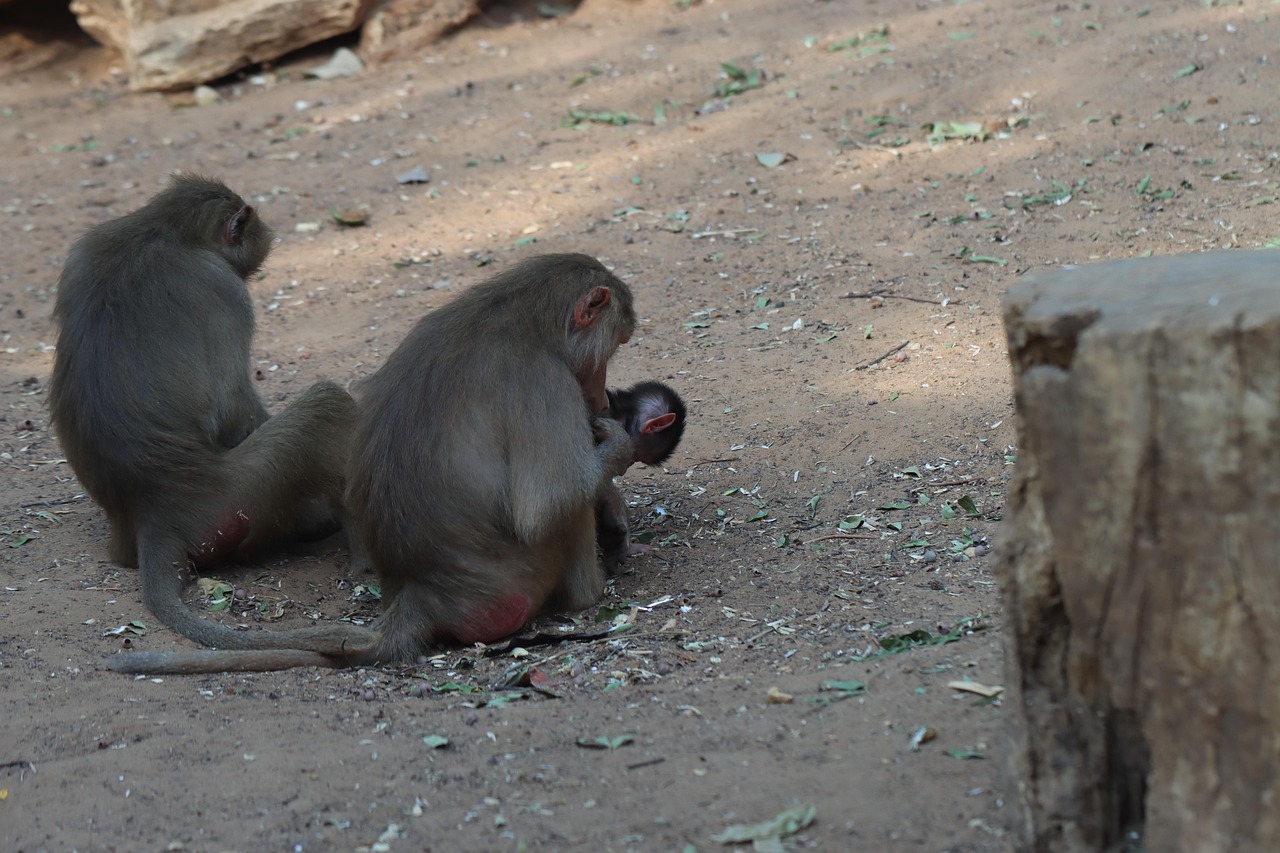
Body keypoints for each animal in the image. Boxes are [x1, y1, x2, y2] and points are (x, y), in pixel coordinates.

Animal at [50, 173, 375, 658]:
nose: (264, 235)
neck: (163, 230)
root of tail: (154, 514)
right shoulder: (226, 291)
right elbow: (231, 407)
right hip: (243, 500)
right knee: (326, 405)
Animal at [106, 252, 637, 673]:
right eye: (611, 350)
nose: (599, 400)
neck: (520, 313)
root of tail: (422, 595)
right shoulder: (545, 382)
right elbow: (545, 505)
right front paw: (620, 447)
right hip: (520, 581)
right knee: (559, 519)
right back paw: (590, 594)